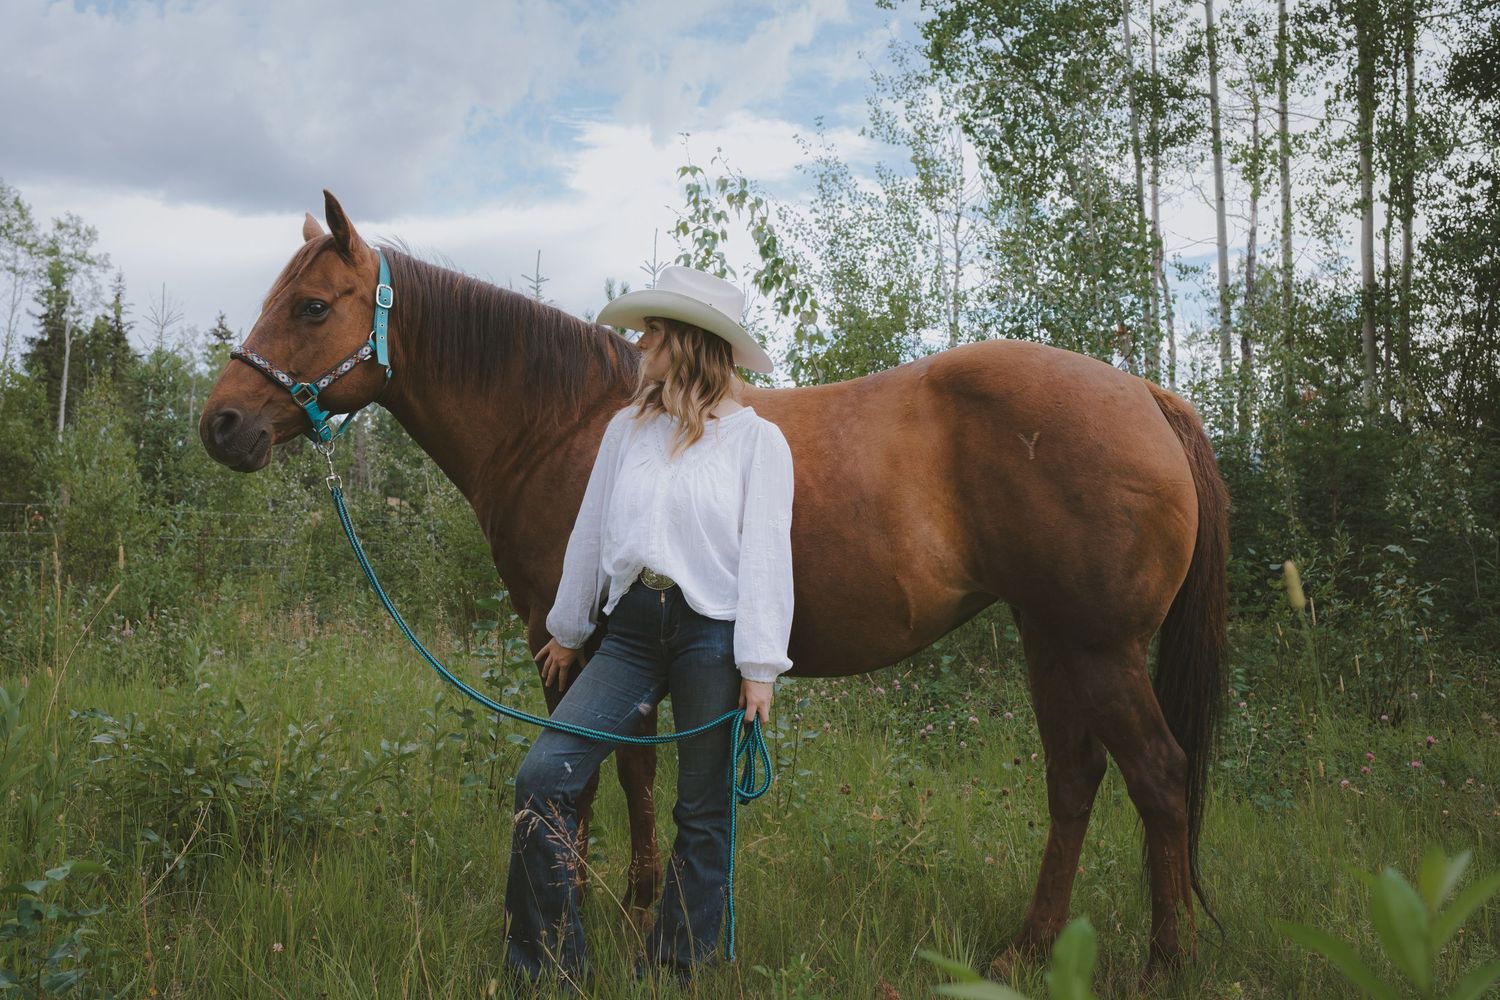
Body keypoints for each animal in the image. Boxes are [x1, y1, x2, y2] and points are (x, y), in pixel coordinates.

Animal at [198, 190, 1228, 978]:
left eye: (313, 307)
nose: (221, 424)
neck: (563, 421)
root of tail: (1147, 396)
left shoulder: (570, 636)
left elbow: (594, 778)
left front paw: (584, 919)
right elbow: (637, 772)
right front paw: (635, 906)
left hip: (1096, 650)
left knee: (1159, 778)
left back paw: (1164, 964)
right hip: (1052, 641)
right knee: (1076, 780)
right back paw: (1026, 951)